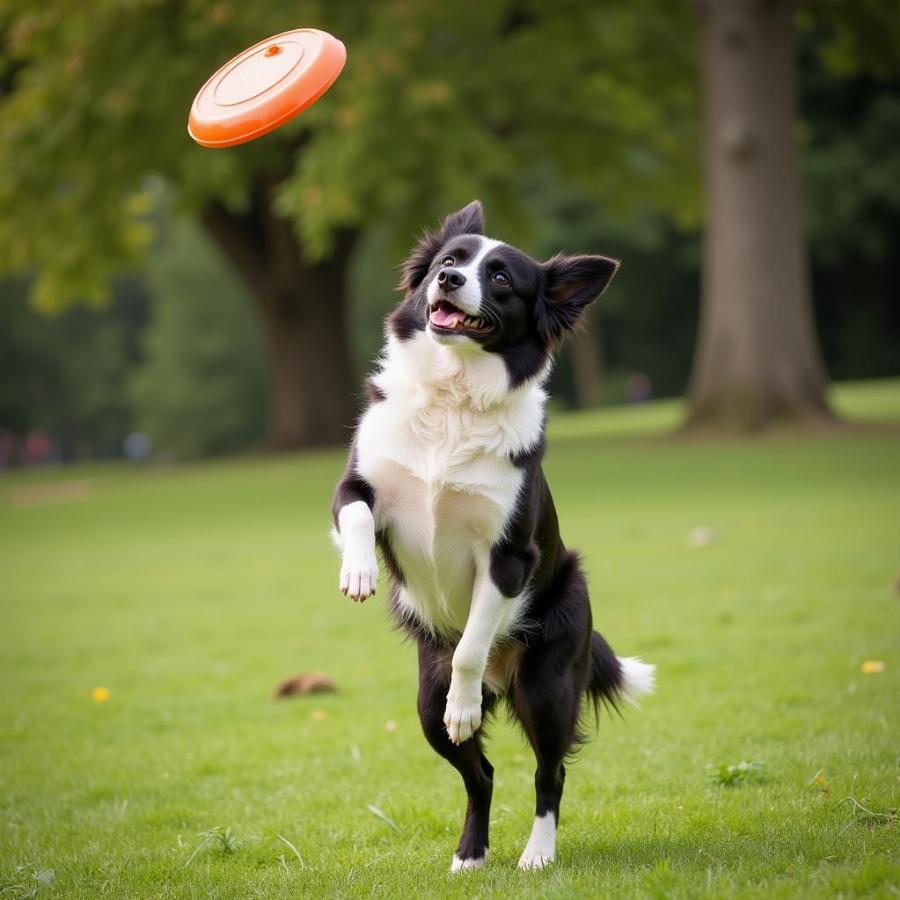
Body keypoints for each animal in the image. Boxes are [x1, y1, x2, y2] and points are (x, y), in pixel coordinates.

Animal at [330, 200, 652, 868]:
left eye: (501, 277)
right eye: (449, 261)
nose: (449, 280)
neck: (452, 396)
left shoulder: (506, 559)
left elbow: (472, 646)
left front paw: (466, 697)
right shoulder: (356, 484)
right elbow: (357, 514)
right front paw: (360, 571)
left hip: (547, 687)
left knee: (549, 772)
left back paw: (537, 854)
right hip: (424, 705)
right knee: (481, 773)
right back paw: (470, 854)